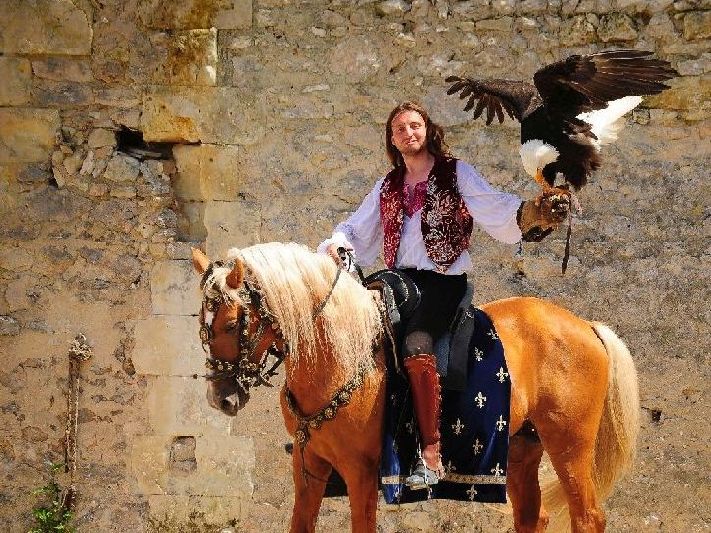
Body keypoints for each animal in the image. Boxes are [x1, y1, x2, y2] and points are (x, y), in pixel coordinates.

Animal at [192, 242, 644, 532]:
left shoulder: (360, 472)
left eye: (232, 324)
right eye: (203, 324)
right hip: (520, 447)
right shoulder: (309, 465)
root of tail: (586, 326)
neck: (339, 352)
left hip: (569, 445)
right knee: (533, 517)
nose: (221, 398)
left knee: (588, 517)